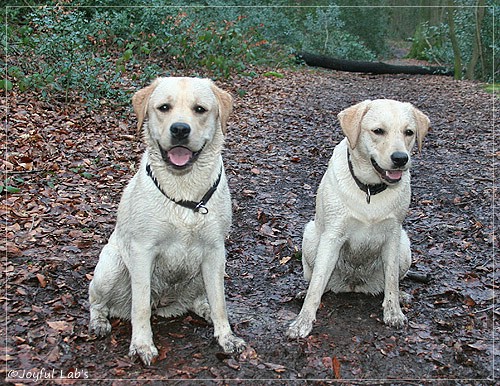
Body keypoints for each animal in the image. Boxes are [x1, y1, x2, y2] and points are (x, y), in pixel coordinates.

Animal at [91, 77, 247, 364]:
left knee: (202, 299)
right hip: (111, 266)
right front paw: (142, 345)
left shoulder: (215, 251)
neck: (184, 189)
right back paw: (98, 322)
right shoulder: (142, 251)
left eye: (200, 109)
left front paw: (226, 337)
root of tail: (163, 303)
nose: (180, 129)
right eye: (164, 107)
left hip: (203, 273)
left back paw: (204, 310)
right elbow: (140, 306)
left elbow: (220, 302)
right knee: (97, 300)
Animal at [288, 99, 432, 338]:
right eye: (378, 131)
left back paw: (401, 296)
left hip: (405, 246)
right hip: (310, 239)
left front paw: (393, 312)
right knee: (318, 281)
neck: (370, 190)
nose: (401, 158)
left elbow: (391, 281)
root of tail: (353, 285)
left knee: (391, 282)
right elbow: (316, 286)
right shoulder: (332, 236)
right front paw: (302, 322)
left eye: (409, 132)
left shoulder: (393, 235)